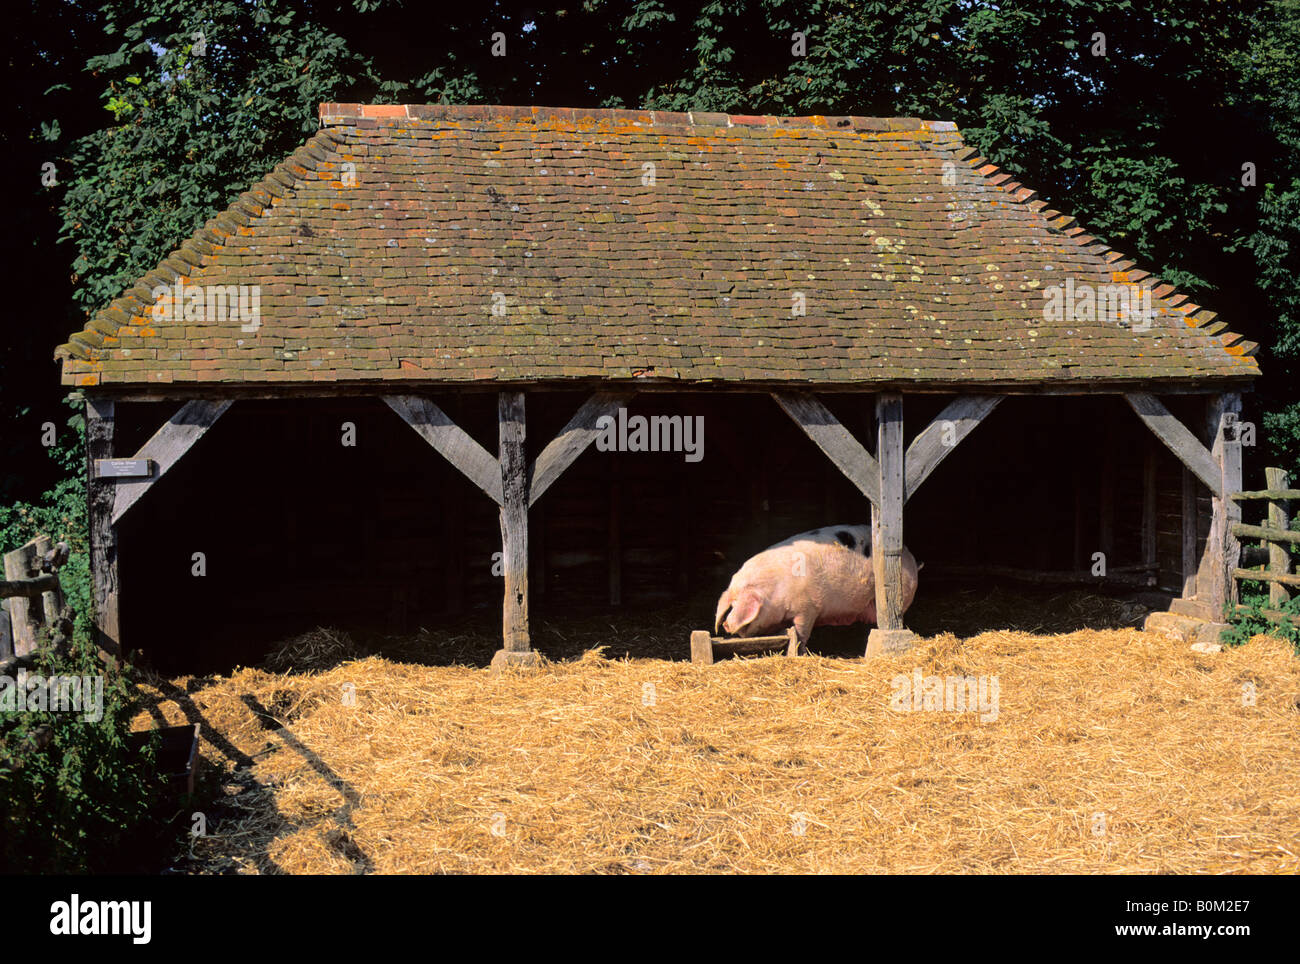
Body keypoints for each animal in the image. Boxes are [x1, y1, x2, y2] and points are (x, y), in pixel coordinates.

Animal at [717, 524, 920, 652]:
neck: (773, 591)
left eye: (737, 603)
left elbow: (801, 633)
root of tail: (910, 556)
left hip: (900, 596)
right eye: (731, 604)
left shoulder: (807, 609)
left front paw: (802, 652)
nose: (726, 625)